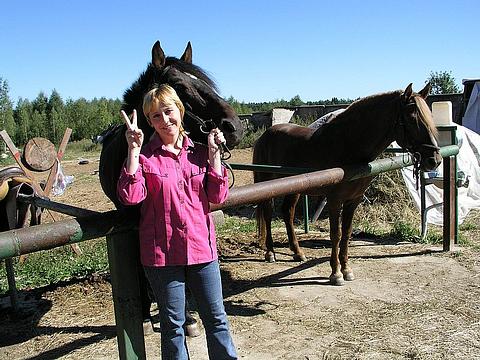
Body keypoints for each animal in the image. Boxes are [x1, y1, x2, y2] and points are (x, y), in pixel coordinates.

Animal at [255, 83, 442, 286]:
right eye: (411, 117)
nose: (434, 160)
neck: (349, 145)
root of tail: (264, 136)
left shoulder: (353, 200)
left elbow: (346, 233)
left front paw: (346, 269)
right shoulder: (334, 200)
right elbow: (335, 235)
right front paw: (335, 273)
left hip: (294, 188)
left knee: (287, 212)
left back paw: (298, 253)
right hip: (267, 184)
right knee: (267, 213)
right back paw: (270, 253)